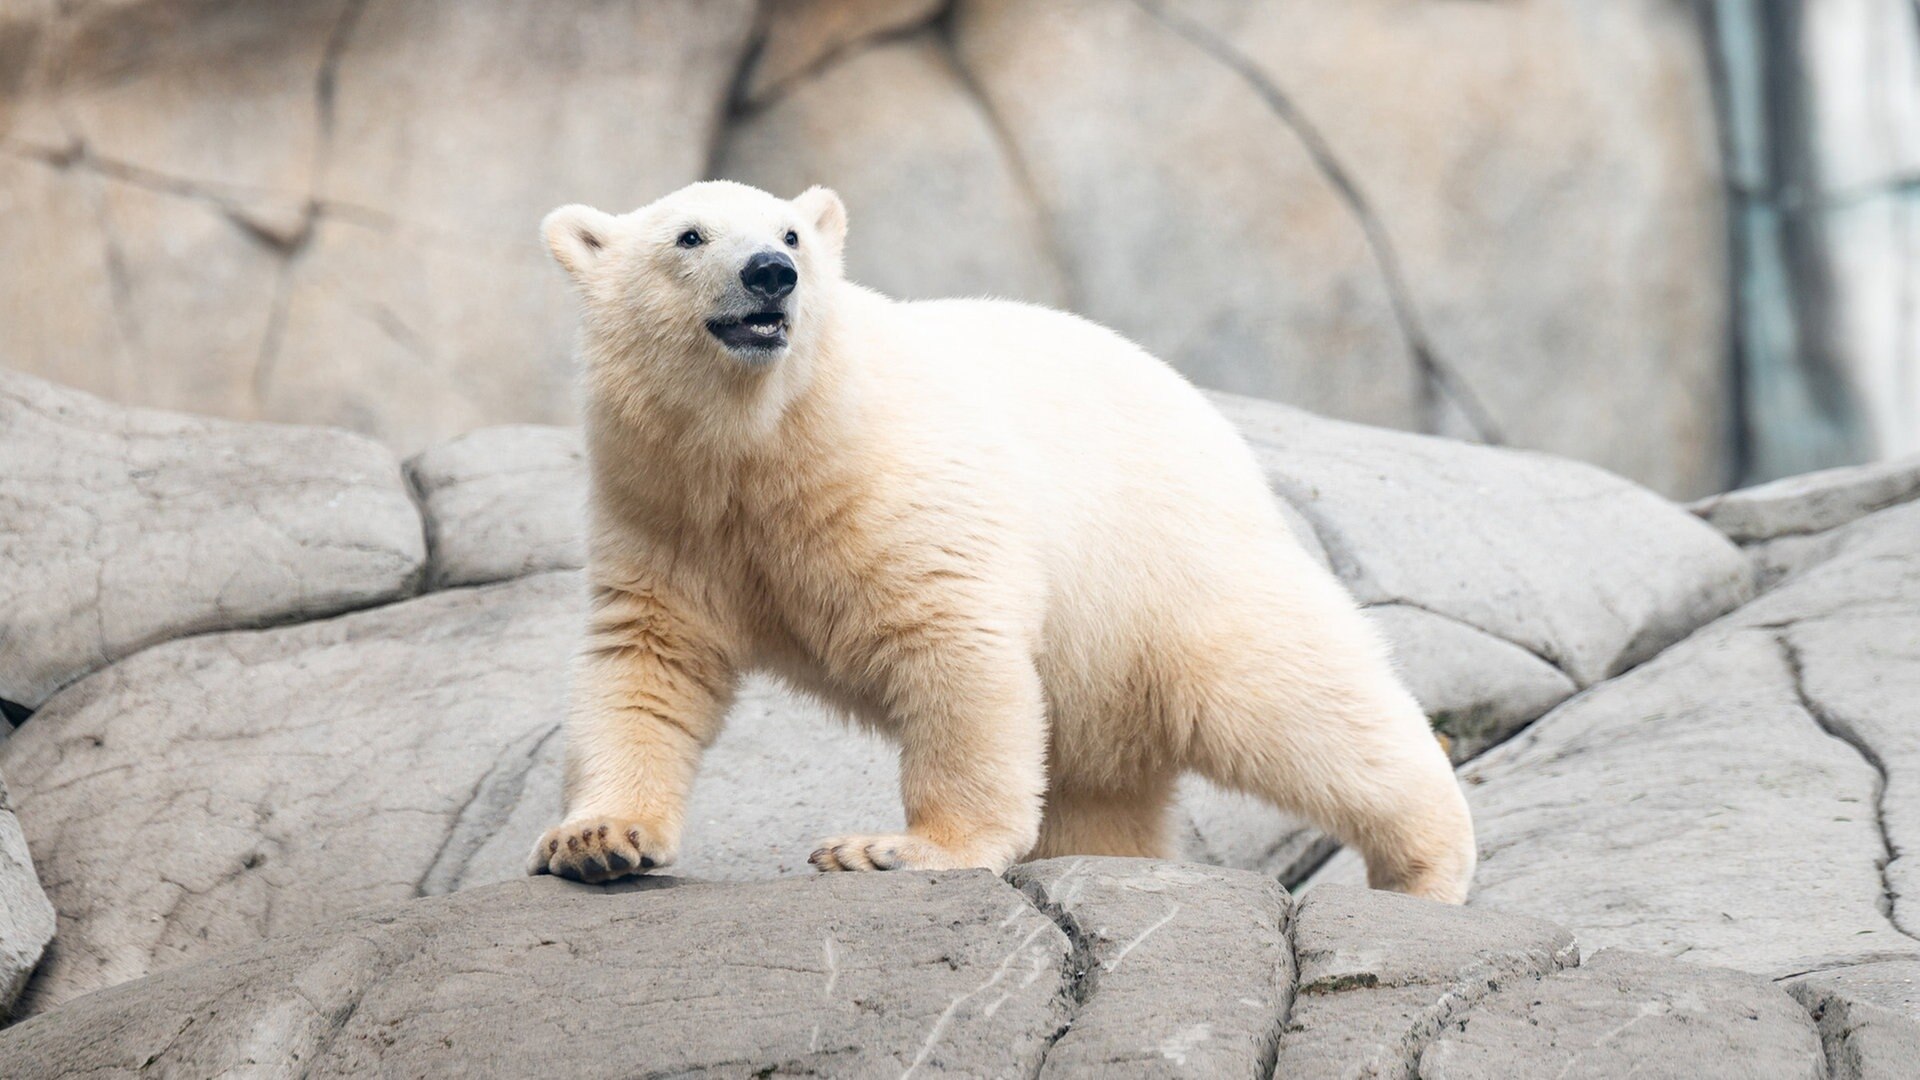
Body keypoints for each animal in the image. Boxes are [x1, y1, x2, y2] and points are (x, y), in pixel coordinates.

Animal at [533, 178, 1474, 899]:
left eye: (790, 231)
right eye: (689, 235)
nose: (772, 274)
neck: (768, 444)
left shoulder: (898, 481)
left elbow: (953, 643)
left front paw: (892, 848)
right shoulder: (664, 511)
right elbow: (647, 661)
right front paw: (597, 840)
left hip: (1168, 567)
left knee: (1292, 700)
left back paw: (1424, 864)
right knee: (1104, 783)